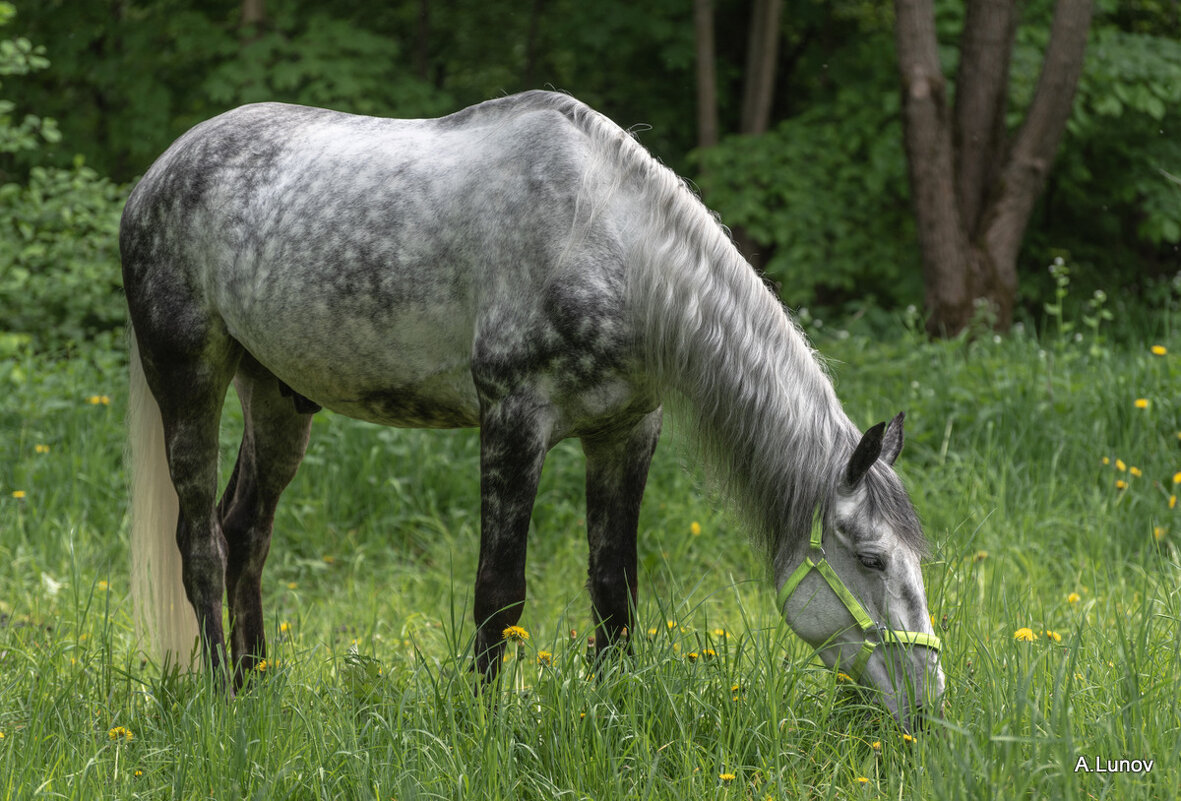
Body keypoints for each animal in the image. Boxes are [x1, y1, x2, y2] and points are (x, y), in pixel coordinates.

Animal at [124, 90, 944, 732]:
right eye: (871, 559)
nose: (927, 703)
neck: (606, 245)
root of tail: (158, 174)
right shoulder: (514, 424)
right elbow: (499, 592)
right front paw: (481, 723)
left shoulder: (624, 433)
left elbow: (613, 588)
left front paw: (615, 711)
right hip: (190, 381)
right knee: (201, 543)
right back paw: (221, 699)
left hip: (278, 396)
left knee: (246, 531)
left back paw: (255, 689)